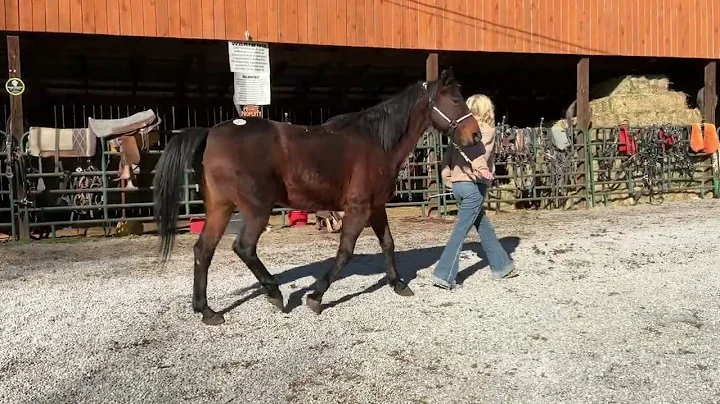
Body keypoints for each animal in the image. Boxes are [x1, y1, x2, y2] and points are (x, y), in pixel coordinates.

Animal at [152, 67, 481, 325]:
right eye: (454, 99)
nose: (475, 135)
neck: (376, 142)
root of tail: (211, 133)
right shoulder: (358, 208)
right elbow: (345, 253)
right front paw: (316, 296)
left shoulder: (376, 208)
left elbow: (388, 244)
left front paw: (398, 284)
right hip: (256, 209)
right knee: (243, 248)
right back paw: (274, 293)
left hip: (220, 208)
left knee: (203, 250)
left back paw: (207, 311)